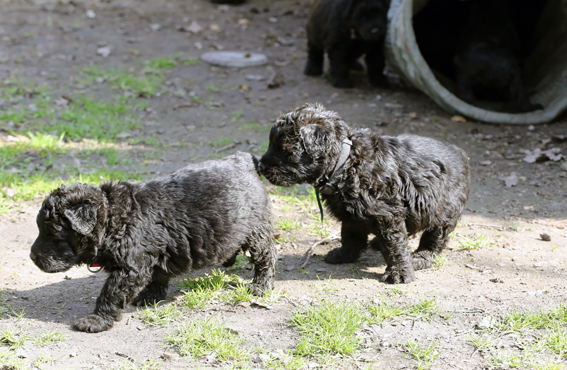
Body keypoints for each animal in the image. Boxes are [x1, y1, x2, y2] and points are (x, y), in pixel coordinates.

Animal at [29, 152, 278, 332]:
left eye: (54, 234)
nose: (31, 257)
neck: (111, 220)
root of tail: (244, 159)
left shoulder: (129, 268)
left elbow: (109, 294)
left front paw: (95, 321)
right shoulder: (155, 255)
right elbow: (158, 275)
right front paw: (151, 296)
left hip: (256, 230)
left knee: (267, 255)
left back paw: (260, 285)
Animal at [260, 103, 470, 284]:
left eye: (286, 150)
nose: (261, 166)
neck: (345, 163)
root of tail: (461, 153)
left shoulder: (387, 215)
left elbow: (396, 246)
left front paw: (400, 273)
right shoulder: (350, 214)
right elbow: (350, 236)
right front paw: (344, 255)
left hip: (444, 212)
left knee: (434, 239)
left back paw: (420, 257)